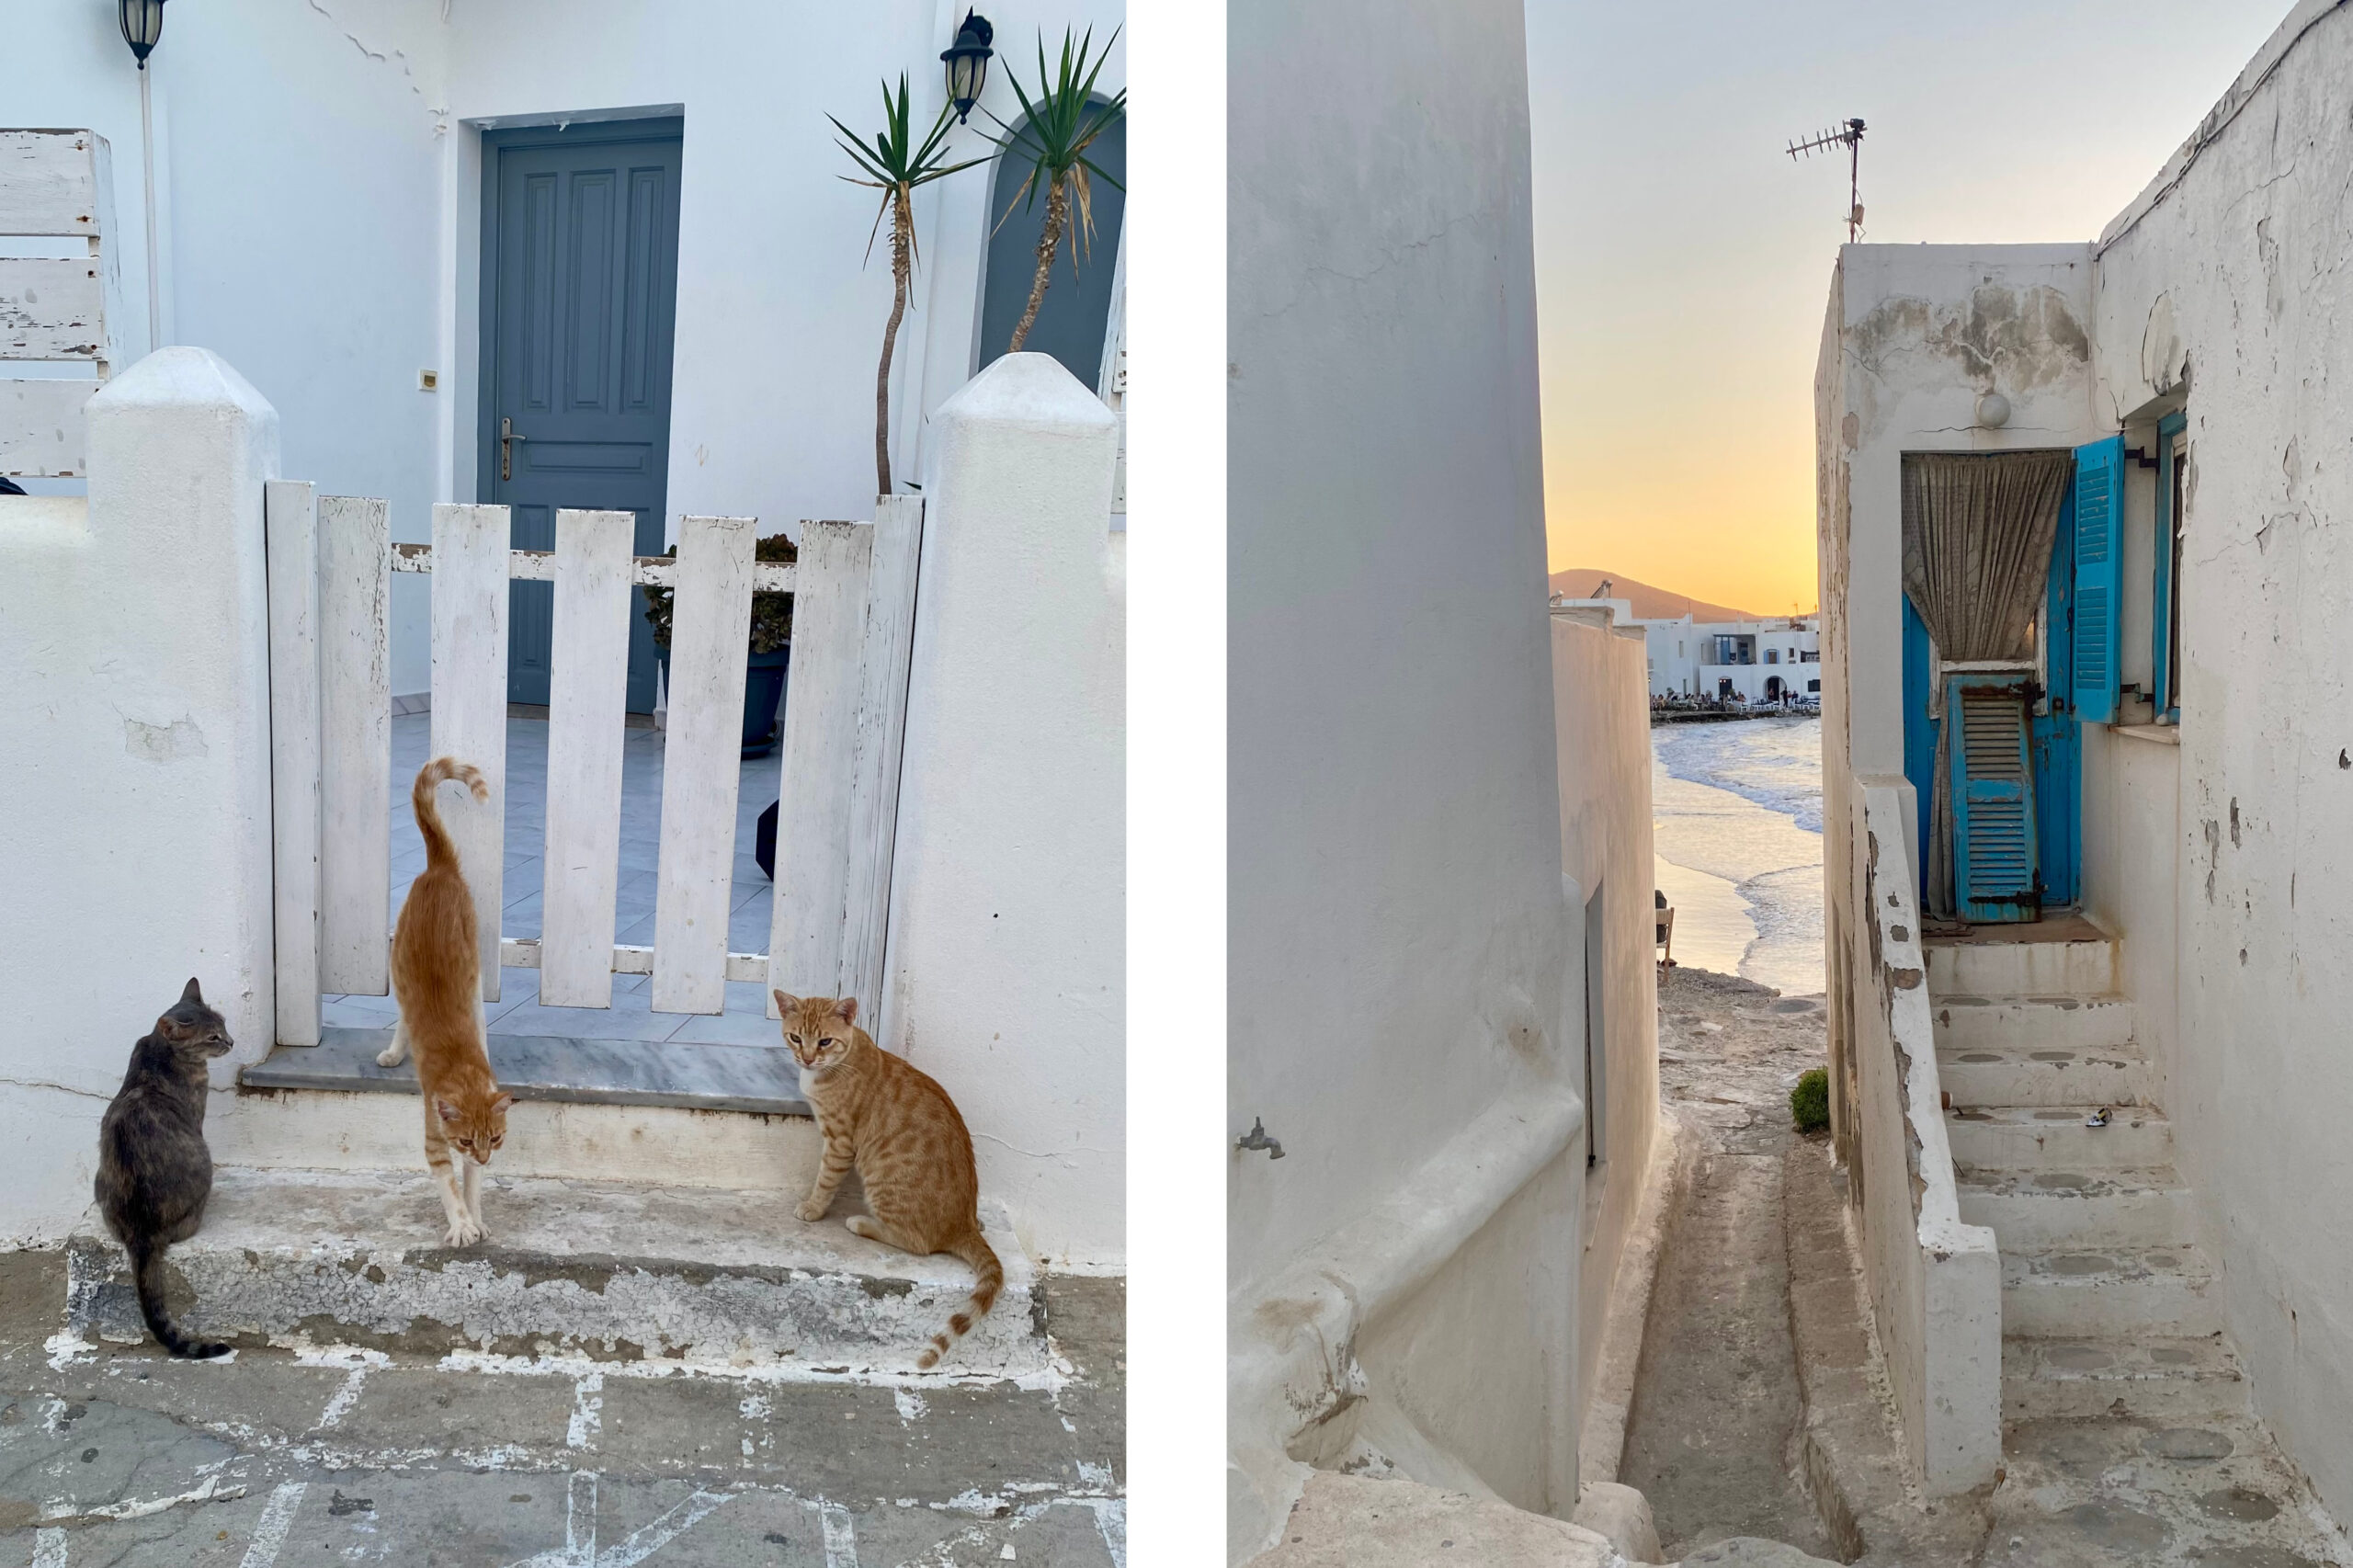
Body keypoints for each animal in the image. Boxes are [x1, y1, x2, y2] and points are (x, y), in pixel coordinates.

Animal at [97, 979, 235, 1356]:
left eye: (224, 1025)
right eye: (212, 1037)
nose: (231, 1042)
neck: (159, 1049)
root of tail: (142, 1234)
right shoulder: (198, 1113)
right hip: (203, 1165)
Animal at [379, 753, 513, 1243]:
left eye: (495, 1139)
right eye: (465, 1140)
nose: (484, 1155)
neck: (462, 1066)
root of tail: (440, 868)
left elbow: (471, 1186)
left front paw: (476, 1218)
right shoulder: (434, 1142)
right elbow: (448, 1186)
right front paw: (460, 1225)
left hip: (473, 978)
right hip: (398, 967)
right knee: (402, 1015)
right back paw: (394, 1052)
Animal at [780, 988, 1002, 1365]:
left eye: (824, 1041)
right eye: (796, 1037)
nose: (807, 1059)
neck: (843, 1060)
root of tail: (963, 1225)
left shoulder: (840, 1143)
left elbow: (825, 1179)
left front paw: (813, 1207)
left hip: (882, 1181)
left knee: (919, 1243)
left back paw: (862, 1223)